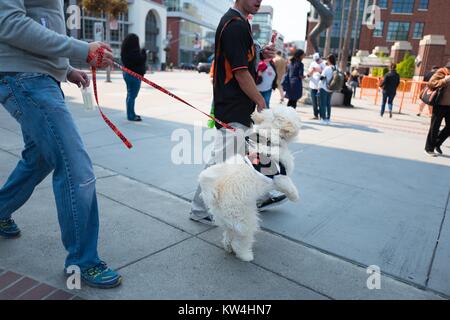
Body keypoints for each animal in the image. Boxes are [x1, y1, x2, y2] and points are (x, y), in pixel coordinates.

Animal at [199, 106, 300, 262]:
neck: (268, 139)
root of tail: (216, 195)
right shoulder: (280, 177)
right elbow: (288, 185)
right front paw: (295, 196)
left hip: (228, 220)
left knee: (228, 234)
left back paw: (228, 247)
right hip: (245, 219)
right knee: (241, 240)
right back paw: (245, 255)